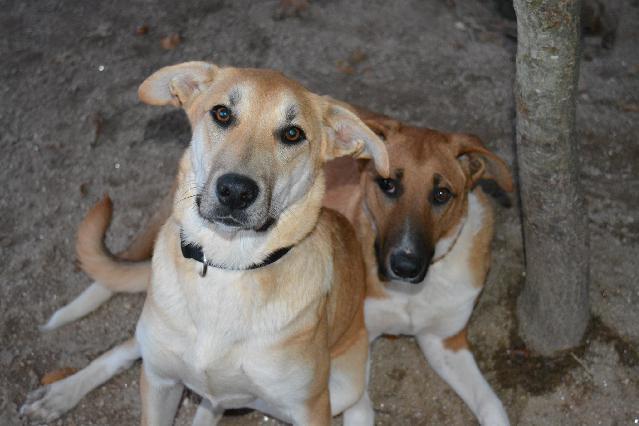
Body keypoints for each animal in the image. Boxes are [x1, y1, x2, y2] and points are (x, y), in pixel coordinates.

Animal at [20, 92, 512, 422]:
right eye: (388, 185)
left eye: (442, 194)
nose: (404, 267)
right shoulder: (357, 344)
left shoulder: (446, 343)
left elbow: (492, 405)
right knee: (131, 346)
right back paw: (60, 394)